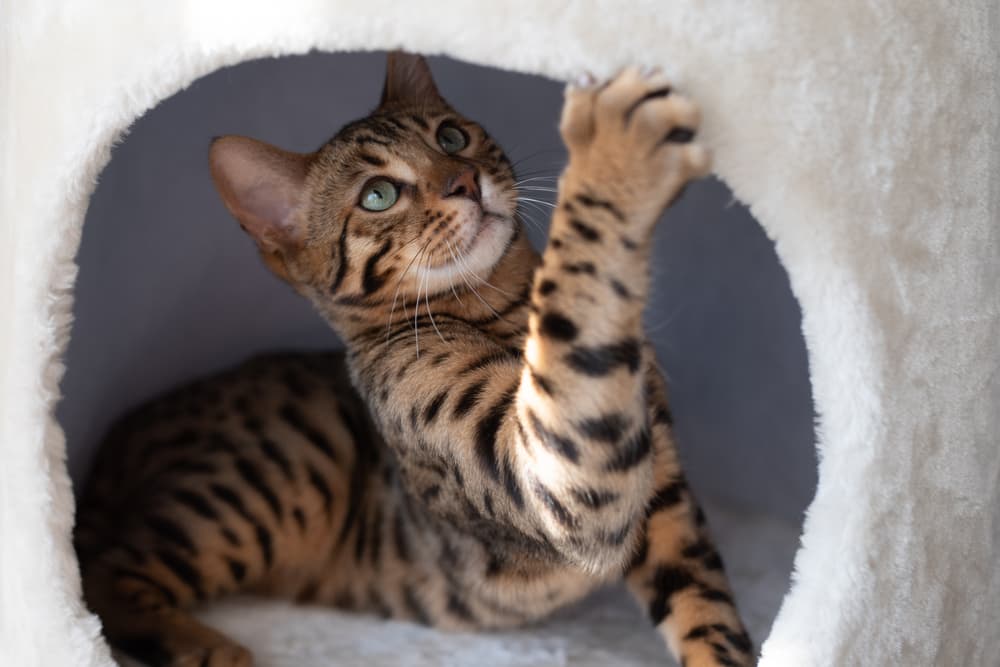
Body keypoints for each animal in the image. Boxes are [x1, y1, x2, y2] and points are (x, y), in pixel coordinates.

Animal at [76, 53, 752, 667]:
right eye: (378, 195)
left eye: (451, 137)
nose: (465, 181)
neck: (505, 310)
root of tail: (112, 445)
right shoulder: (558, 476)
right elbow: (577, 289)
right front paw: (614, 151)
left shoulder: (662, 495)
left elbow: (707, 612)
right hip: (270, 478)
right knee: (101, 576)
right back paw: (204, 647)